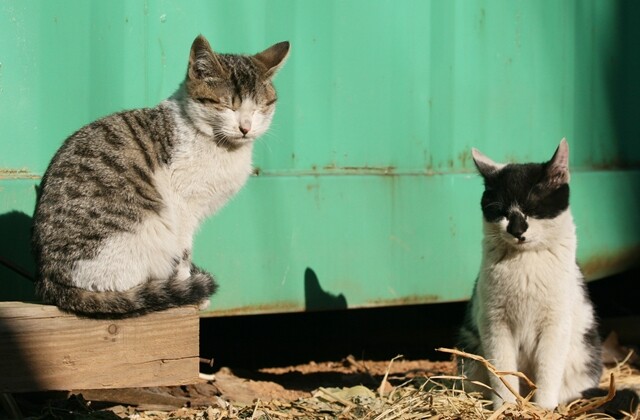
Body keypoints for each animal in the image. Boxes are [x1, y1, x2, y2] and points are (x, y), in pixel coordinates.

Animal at [32, 36, 288, 318]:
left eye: (259, 109)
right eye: (227, 105)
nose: (245, 127)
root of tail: (49, 281)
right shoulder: (183, 207)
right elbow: (184, 253)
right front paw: (188, 289)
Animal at [456, 139, 604, 408]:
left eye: (532, 209)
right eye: (501, 212)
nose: (516, 230)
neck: (525, 262)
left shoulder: (556, 324)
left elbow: (547, 372)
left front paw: (543, 409)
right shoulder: (494, 322)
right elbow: (502, 372)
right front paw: (506, 407)